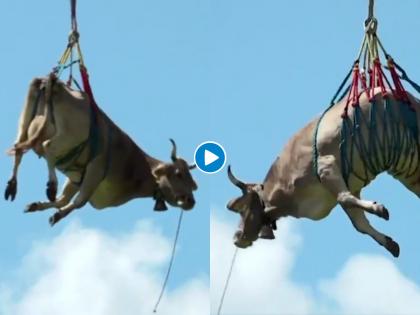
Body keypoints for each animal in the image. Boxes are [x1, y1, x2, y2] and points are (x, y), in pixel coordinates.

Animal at [4, 74, 199, 227]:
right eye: (178, 174)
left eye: (193, 185)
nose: (191, 201)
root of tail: (52, 81)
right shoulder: (95, 170)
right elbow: (78, 201)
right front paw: (57, 215)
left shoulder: (76, 178)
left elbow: (63, 200)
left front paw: (36, 206)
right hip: (66, 136)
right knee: (47, 147)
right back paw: (51, 185)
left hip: (24, 124)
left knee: (19, 149)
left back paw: (12, 186)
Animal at [226, 87, 420, 258]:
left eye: (241, 207)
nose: (236, 238)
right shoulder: (348, 187)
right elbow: (359, 221)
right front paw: (390, 243)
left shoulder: (326, 166)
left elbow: (345, 198)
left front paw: (379, 209)